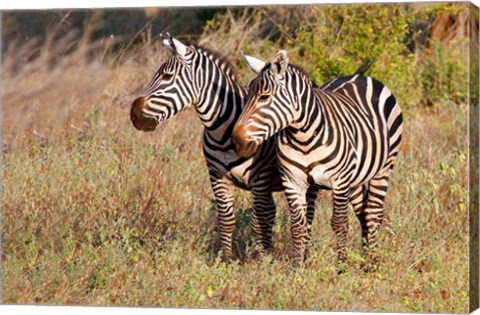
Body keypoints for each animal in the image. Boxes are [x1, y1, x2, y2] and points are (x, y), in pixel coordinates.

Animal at [130, 34, 322, 262]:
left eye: (167, 76)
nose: (134, 114)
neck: (221, 130)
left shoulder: (261, 179)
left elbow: (258, 221)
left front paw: (259, 260)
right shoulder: (217, 176)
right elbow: (226, 218)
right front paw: (225, 258)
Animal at [232, 50, 402, 270]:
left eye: (264, 97)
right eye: (246, 98)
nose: (236, 141)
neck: (303, 137)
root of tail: (360, 76)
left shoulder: (340, 182)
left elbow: (339, 223)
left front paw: (341, 267)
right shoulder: (293, 182)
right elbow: (298, 226)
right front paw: (298, 267)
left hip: (383, 168)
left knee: (373, 213)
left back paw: (372, 263)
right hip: (354, 178)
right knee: (362, 212)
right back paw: (365, 256)